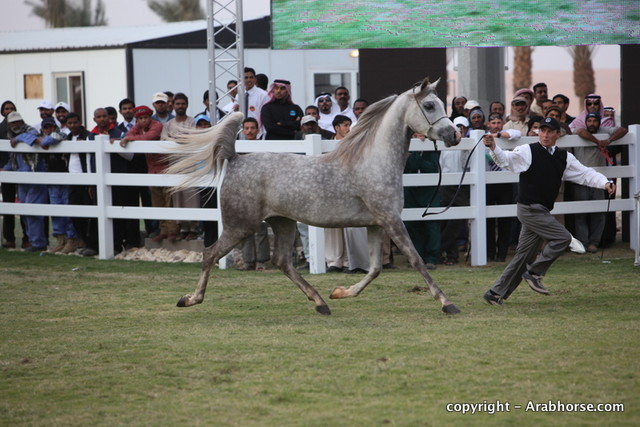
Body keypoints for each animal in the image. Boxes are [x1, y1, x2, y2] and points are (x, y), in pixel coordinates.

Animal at [166, 77, 462, 315]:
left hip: (282, 223)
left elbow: (375, 268)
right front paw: (447, 303)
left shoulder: (376, 224)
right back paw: (190, 299)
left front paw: (341, 292)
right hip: (240, 226)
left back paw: (321, 302)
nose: (454, 135)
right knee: (210, 254)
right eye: (429, 106)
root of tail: (236, 159)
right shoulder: (391, 221)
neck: (373, 162)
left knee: (282, 262)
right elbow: (416, 259)